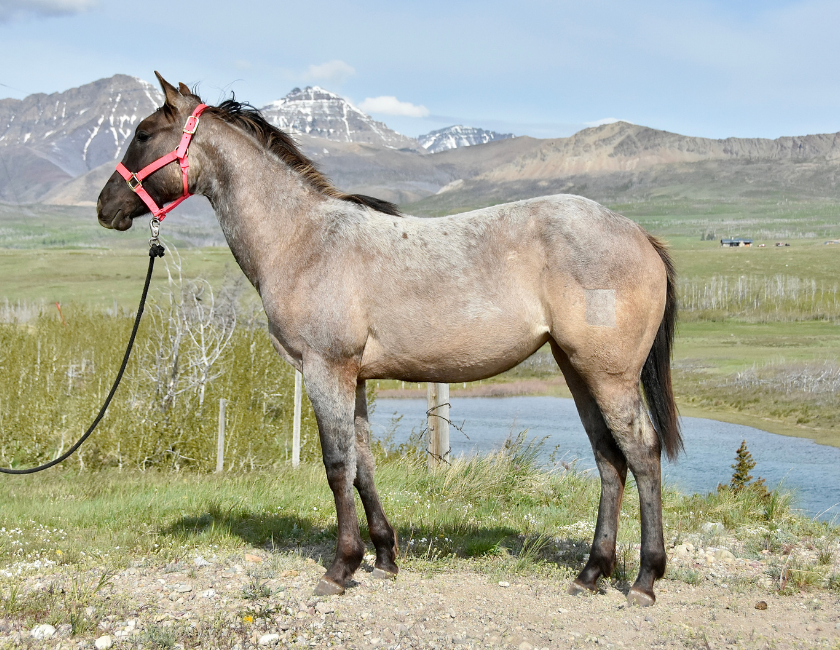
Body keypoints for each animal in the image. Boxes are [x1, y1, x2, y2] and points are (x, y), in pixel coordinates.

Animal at [97, 73, 681, 607]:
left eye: (143, 134)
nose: (105, 206)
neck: (301, 239)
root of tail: (638, 234)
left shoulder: (325, 369)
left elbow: (337, 468)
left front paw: (339, 568)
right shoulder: (352, 378)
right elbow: (363, 466)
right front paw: (382, 557)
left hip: (608, 374)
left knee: (642, 453)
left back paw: (644, 580)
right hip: (576, 369)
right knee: (609, 459)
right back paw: (591, 573)